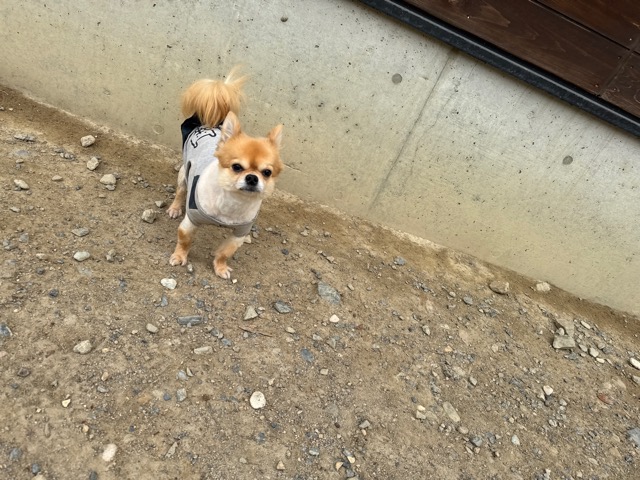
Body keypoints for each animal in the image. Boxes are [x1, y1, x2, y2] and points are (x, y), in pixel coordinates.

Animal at [167, 69, 284, 279]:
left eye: (267, 172)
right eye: (237, 167)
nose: (252, 177)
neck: (233, 202)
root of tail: (209, 123)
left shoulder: (239, 234)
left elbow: (224, 252)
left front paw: (220, 268)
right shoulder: (191, 222)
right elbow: (184, 241)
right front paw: (179, 257)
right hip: (184, 174)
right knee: (180, 191)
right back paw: (174, 208)